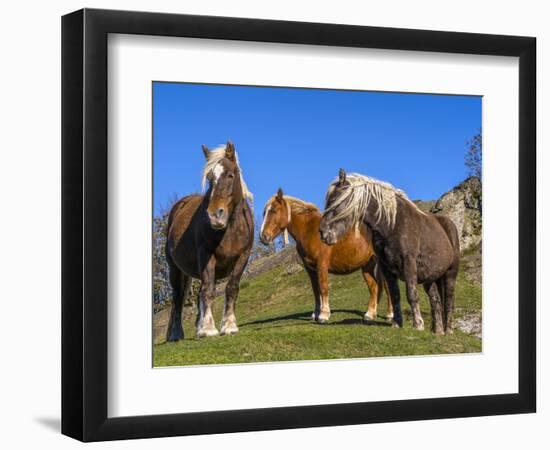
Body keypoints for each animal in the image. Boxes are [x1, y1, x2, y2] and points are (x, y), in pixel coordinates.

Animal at [166, 142, 254, 342]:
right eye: (209, 178)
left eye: (230, 175)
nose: (214, 215)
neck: (230, 229)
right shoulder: (207, 256)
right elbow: (209, 290)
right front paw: (208, 329)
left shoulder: (243, 257)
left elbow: (231, 288)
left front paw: (229, 326)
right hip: (175, 269)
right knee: (178, 298)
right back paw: (176, 334)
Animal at [260, 189, 394, 324]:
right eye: (265, 212)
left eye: (274, 210)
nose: (263, 237)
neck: (311, 230)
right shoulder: (310, 269)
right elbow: (315, 290)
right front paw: (316, 313)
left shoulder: (322, 265)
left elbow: (323, 287)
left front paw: (323, 315)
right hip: (367, 265)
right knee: (374, 287)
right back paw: (369, 315)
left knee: (387, 288)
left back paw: (390, 315)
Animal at [320, 171, 462, 336]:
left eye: (335, 201)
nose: (322, 233)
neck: (392, 225)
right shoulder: (386, 268)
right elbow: (395, 295)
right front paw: (397, 323)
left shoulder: (409, 264)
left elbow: (411, 295)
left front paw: (418, 325)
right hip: (430, 279)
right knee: (436, 301)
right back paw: (438, 331)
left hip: (450, 274)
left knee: (449, 300)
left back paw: (448, 330)